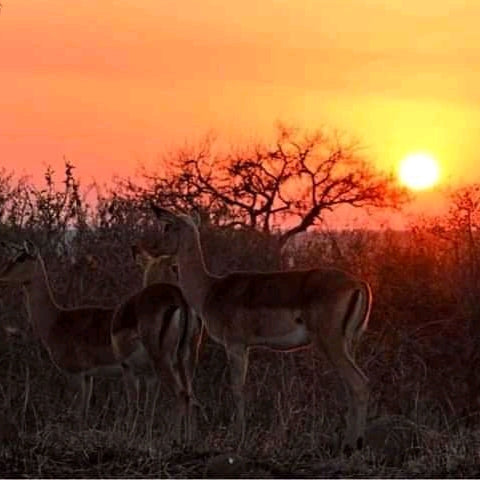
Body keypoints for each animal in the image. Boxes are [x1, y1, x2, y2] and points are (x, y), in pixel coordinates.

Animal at [150, 206, 372, 454]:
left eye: (167, 226)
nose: (154, 248)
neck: (209, 290)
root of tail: (359, 284)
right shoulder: (245, 347)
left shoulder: (235, 345)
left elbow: (237, 388)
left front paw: (237, 437)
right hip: (348, 344)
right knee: (352, 387)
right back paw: (350, 445)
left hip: (331, 344)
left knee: (359, 383)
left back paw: (352, 447)